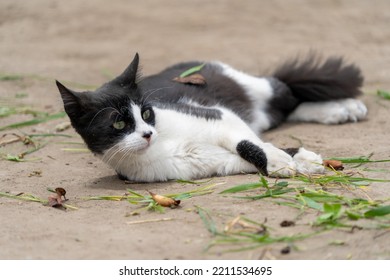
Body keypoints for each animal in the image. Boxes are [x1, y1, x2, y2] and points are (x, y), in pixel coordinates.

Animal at [56, 53, 368, 183]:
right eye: (119, 123)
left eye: (146, 113)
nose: (147, 133)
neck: (164, 144)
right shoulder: (209, 163)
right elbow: (249, 155)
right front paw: (291, 160)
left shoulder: (220, 116)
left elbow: (248, 143)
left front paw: (290, 158)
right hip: (262, 115)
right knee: (283, 110)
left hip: (255, 88)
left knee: (287, 91)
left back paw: (344, 107)